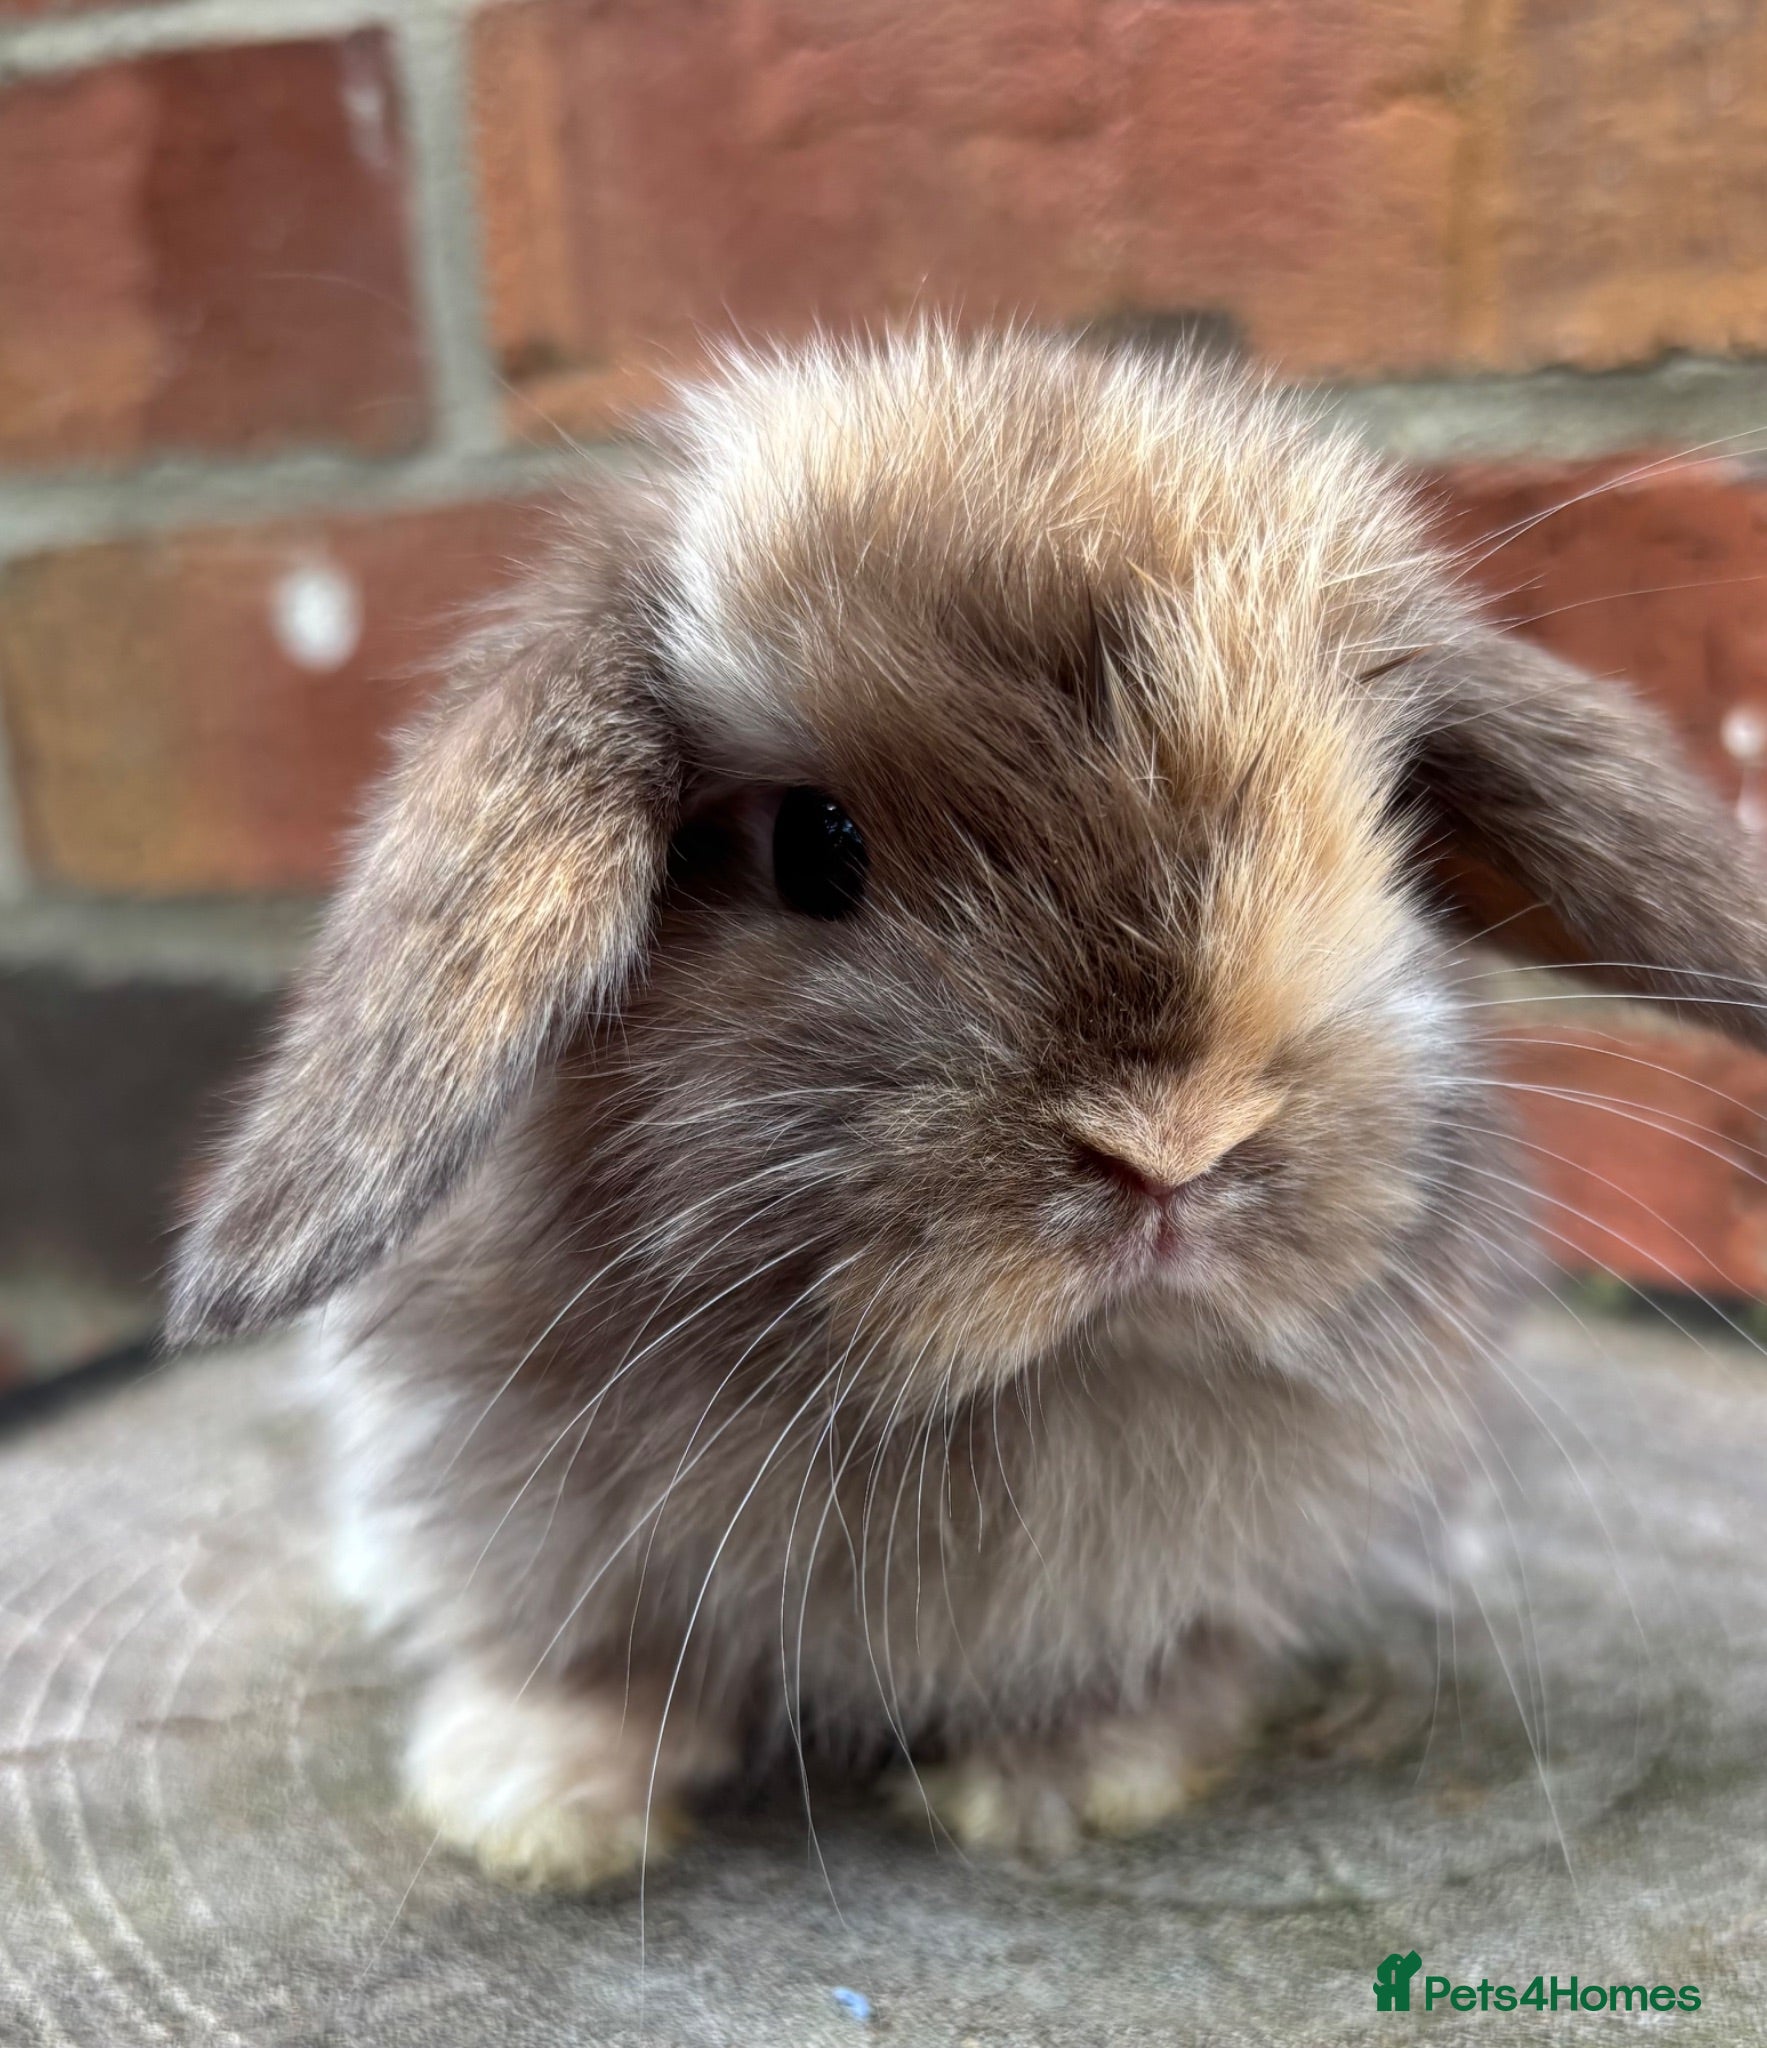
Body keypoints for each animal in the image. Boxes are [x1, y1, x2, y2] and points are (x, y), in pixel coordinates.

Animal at [168, 327, 1767, 1890]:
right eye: (815, 844)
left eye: (1383, 833)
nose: (1172, 1146)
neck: (1012, 1399)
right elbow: (583, 1662)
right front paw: (527, 1806)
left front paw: (1057, 1787)